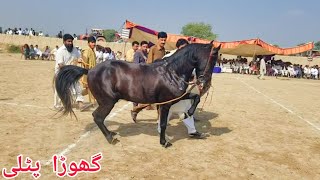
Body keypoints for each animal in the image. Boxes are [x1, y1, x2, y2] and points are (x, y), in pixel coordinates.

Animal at [55, 42, 220, 148]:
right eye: (212, 58)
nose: (205, 82)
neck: (172, 73)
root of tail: (89, 70)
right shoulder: (166, 104)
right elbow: (163, 124)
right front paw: (164, 142)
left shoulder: (176, 98)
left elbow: (195, 98)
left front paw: (189, 114)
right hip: (108, 102)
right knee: (98, 117)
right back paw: (110, 138)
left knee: (100, 118)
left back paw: (112, 132)